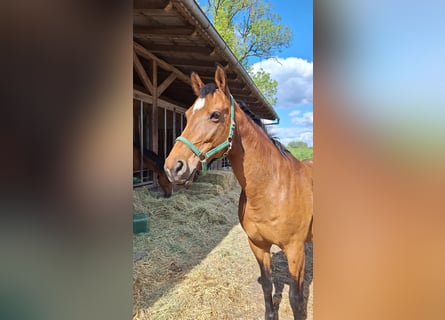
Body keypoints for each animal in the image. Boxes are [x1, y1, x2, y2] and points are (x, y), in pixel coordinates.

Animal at [163, 65, 312, 320]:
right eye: (187, 115)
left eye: (215, 115)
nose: (173, 167)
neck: (273, 189)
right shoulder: (258, 245)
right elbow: (267, 285)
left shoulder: (295, 250)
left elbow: (296, 299)